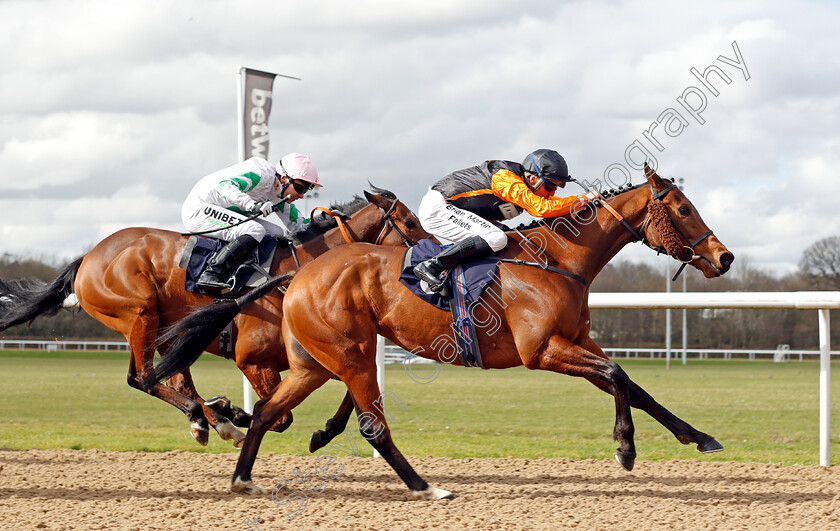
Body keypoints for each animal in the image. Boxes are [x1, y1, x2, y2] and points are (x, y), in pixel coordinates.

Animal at [0, 189, 430, 446]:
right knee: (144, 378)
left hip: (160, 330)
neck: (298, 272)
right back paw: (214, 417)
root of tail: (88, 257)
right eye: (410, 223)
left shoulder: (325, 354)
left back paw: (211, 417)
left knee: (167, 380)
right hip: (139, 314)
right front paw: (238, 413)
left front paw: (324, 432)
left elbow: (349, 393)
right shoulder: (254, 360)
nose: (431, 256)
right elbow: (278, 417)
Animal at [221, 166, 736, 498]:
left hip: (313, 362)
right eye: (684, 209)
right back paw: (425, 487)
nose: (724, 257)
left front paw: (698, 436)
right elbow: (617, 375)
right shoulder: (543, 351)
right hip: (350, 354)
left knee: (268, 411)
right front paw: (625, 448)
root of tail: (297, 277)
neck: (557, 259)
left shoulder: (576, 341)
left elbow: (631, 383)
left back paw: (243, 476)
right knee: (370, 426)